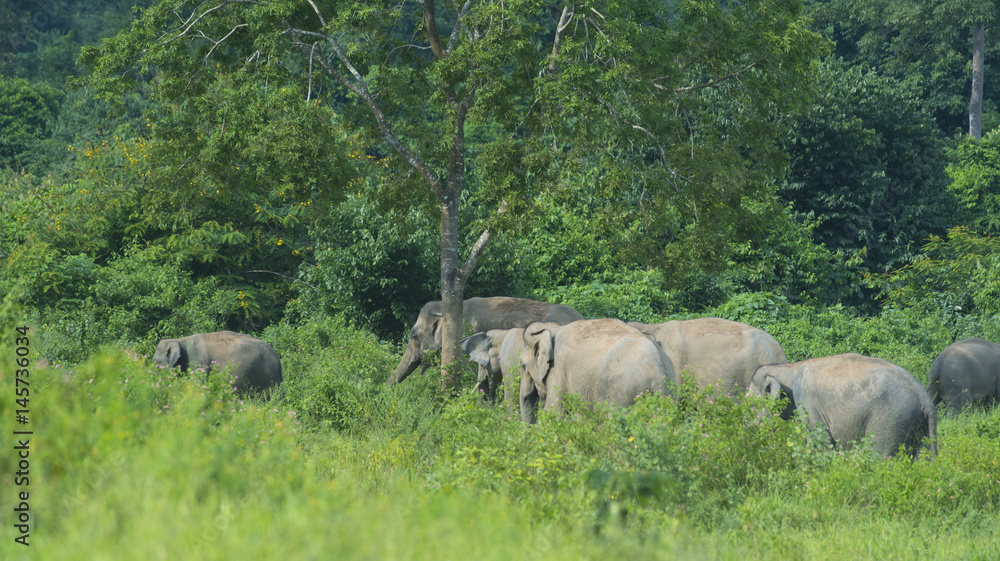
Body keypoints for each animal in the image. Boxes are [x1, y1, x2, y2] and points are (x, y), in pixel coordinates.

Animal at [518, 318, 675, 424]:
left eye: (523, 365)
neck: (553, 328)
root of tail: (657, 369)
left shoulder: (559, 371)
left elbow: (554, 413)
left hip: (622, 392)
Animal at [750, 353, 937, 458]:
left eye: (750, 405)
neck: (786, 369)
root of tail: (924, 397)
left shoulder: (807, 405)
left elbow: (821, 443)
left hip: (891, 418)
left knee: (878, 455)